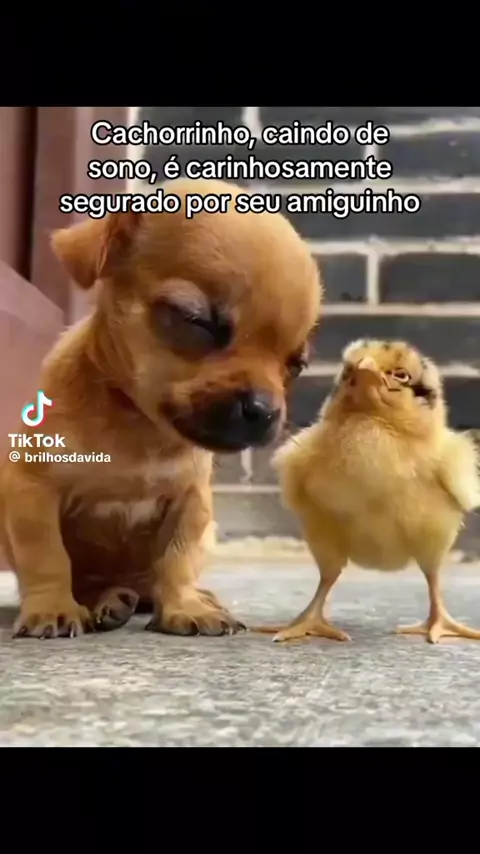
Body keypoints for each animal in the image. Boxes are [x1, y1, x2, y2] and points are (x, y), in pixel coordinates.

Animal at [0, 178, 322, 639]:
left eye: (296, 365)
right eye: (197, 321)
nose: (263, 410)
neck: (138, 425)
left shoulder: (191, 503)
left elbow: (176, 559)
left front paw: (185, 606)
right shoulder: (34, 490)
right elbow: (47, 556)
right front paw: (52, 607)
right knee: (92, 581)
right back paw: (107, 601)